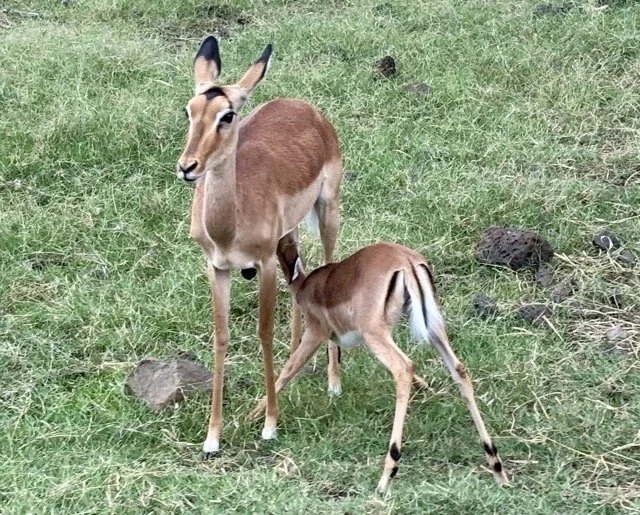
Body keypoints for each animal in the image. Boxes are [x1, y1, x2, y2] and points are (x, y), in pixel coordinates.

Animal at [176, 36, 343, 457]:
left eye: (227, 115)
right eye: (190, 110)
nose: (188, 166)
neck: (229, 226)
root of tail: (304, 107)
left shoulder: (264, 263)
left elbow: (263, 332)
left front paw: (269, 424)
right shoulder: (216, 267)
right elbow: (221, 336)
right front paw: (212, 437)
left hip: (328, 211)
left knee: (328, 265)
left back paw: (333, 381)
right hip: (291, 231)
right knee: (300, 277)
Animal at [248, 242, 509, 492]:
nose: (249, 270)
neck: (306, 285)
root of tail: (406, 261)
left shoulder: (315, 333)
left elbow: (287, 370)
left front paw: (254, 418)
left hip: (376, 334)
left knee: (404, 368)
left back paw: (386, 476)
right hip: (433, 329)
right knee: (459, 370)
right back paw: (497, 467)